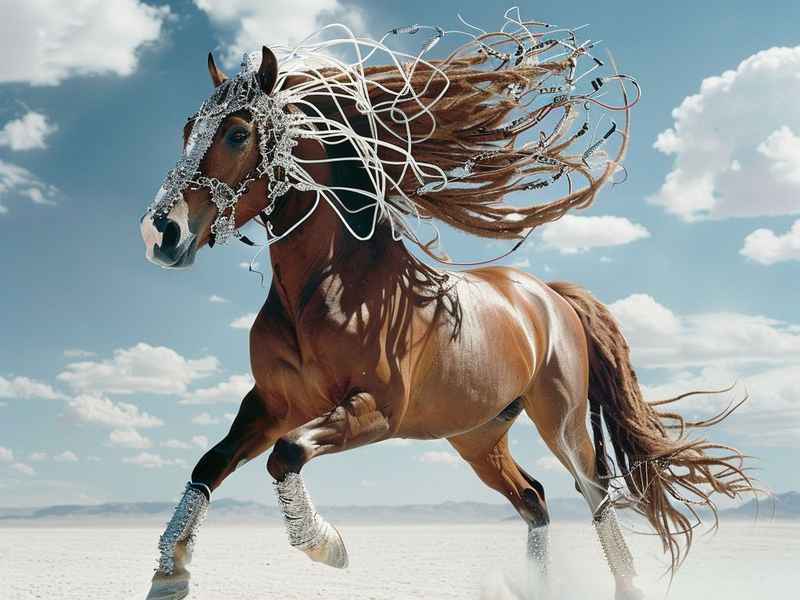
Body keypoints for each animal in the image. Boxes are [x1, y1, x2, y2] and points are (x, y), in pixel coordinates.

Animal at [138, 18, 752, 600]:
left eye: (239, 133)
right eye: (187, 130)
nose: (161, 234)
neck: (328, 288)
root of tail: (549, 296)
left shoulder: (375, 410)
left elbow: (286, 455)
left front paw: (327, 546)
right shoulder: (272, 405)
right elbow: (210, 465)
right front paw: (170, 575)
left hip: (561, 420)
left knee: (594, 491)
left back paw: (627, 583)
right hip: (476, 436)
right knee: (533, 498)